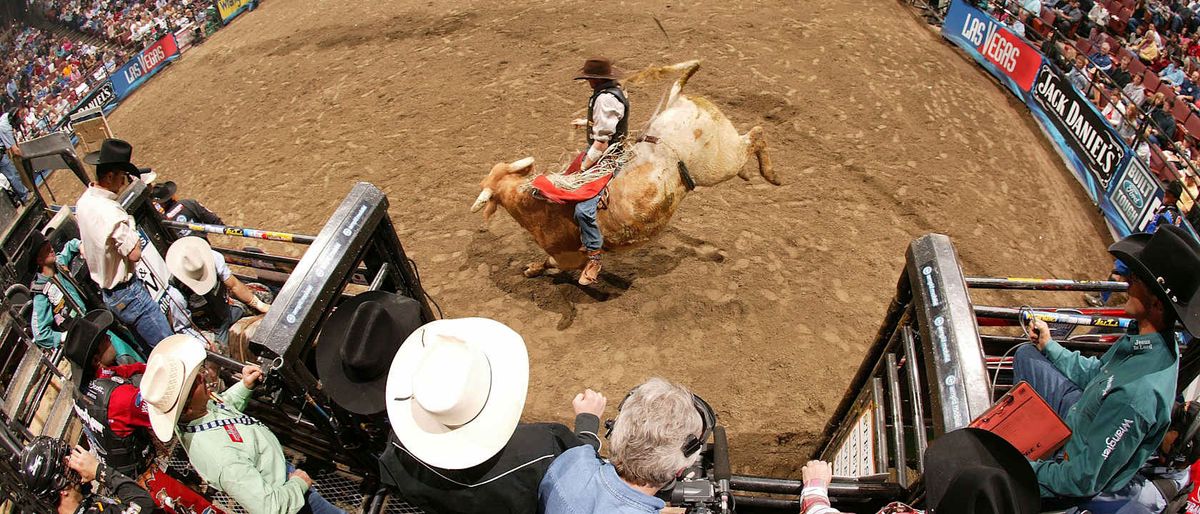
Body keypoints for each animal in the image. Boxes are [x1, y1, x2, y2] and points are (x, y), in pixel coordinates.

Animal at [468, 60, 777, 281]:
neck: (536, 204)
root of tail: (679, 98)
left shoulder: (568, 255)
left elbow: (553, 262)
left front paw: (536, 268)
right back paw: (750, 174)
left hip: (718, 163)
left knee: (756, 134)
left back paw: (771, 175)